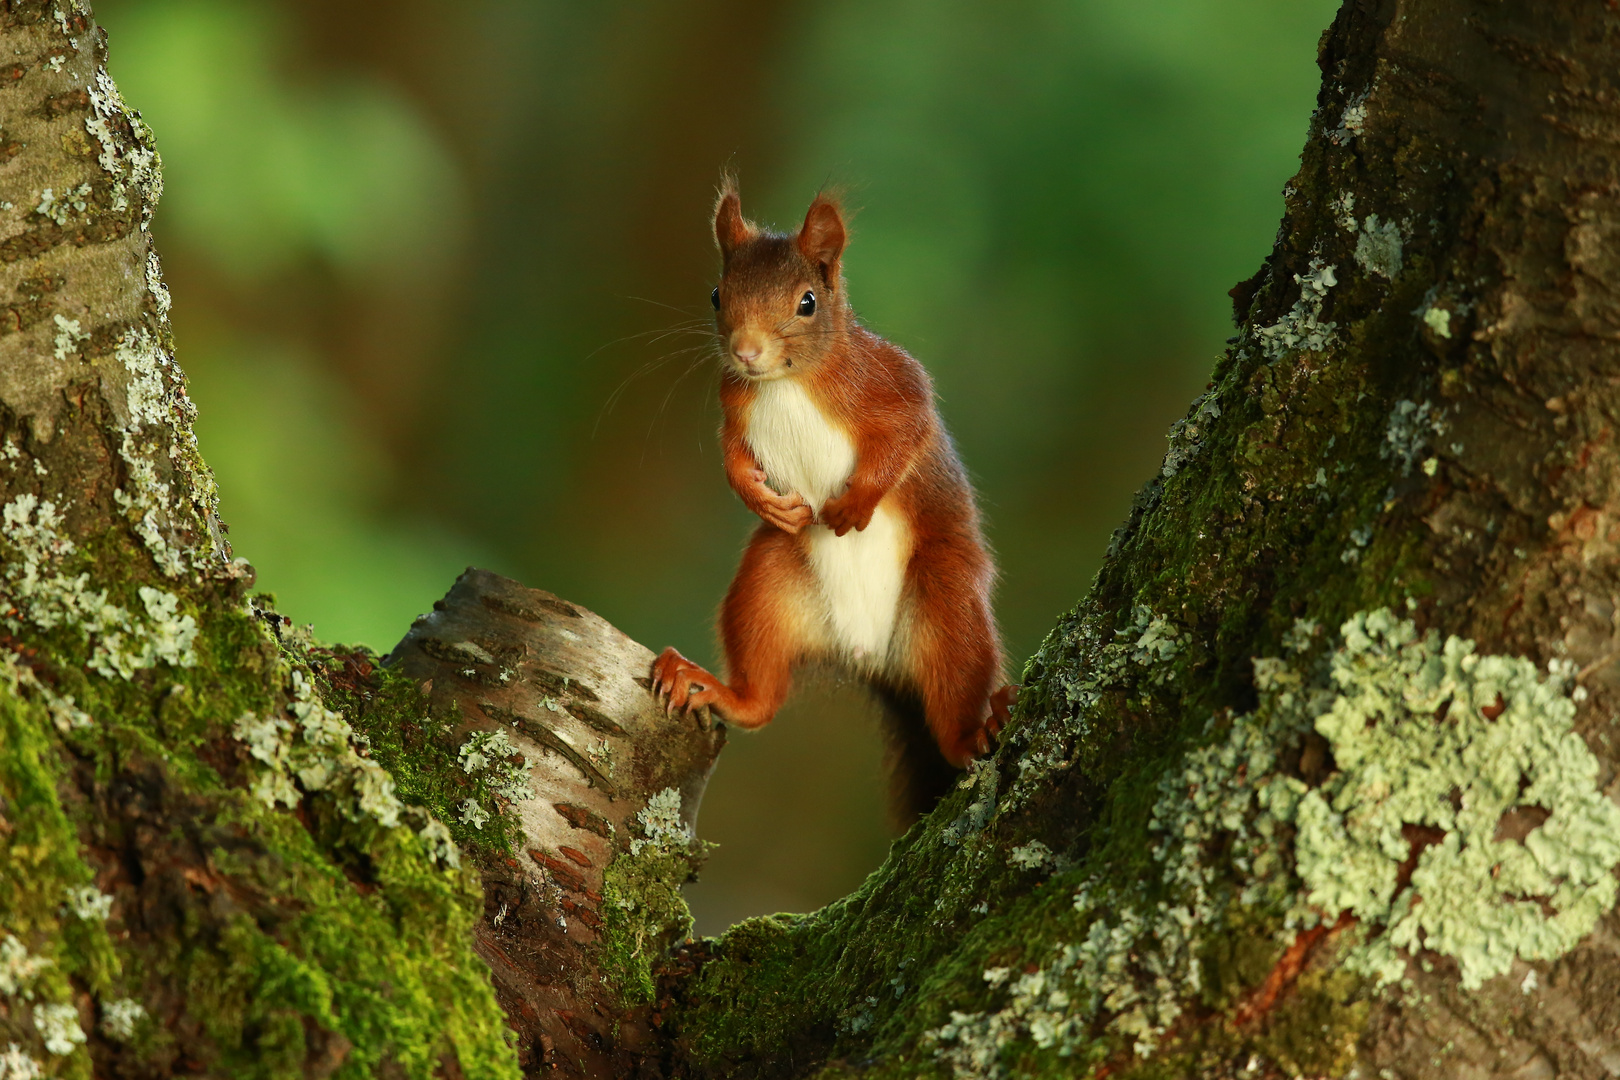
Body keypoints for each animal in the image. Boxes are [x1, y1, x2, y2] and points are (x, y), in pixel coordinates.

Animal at [648, 179, 1010, 819]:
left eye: (808, 302)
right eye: (716, 294)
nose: (745, 351)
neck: (786, 381)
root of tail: (868, 654)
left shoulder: (890, 381)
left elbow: (907, 432)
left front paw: (855, 504)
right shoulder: (733, 409)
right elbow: (731, 457)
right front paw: (762, 498)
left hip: (946, 596)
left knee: (954, 709)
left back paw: (978, 731)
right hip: (767, 585)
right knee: (762, 699)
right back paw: (712, 686)